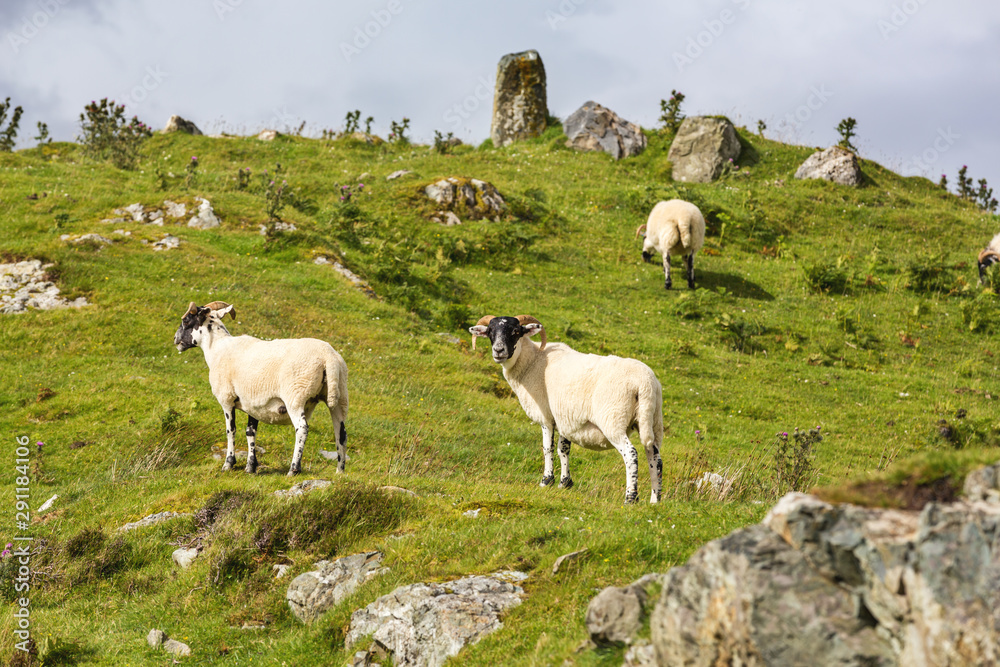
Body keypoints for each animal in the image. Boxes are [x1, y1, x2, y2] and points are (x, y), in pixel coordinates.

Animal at [173, 301, 349, 476]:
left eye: (186, 320)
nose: (175, 339)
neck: (217, 348)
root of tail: (328, 357)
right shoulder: (253, 403)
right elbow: (250, 432)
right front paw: (251, 466)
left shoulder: (226, 399)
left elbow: (231, 430)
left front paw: (228, 464)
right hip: (340, 396)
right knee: (341, 432)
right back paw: (339, 471)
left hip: (295, 396)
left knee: (302, 429)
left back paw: (294, 469)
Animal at [469, 315, 663, 504]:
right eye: (490, 331)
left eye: (516, 331)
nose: (498, 351)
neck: (532, 361)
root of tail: (645, 383)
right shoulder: (565, 417)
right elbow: (563, 449)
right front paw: (565, 483)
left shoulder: (546, 416)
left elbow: (547, 448)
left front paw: (546, 481)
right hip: (652, 421)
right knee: (655, 458)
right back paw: (655, 500)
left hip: (613, 421)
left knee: (631, 455)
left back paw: (630, 498)